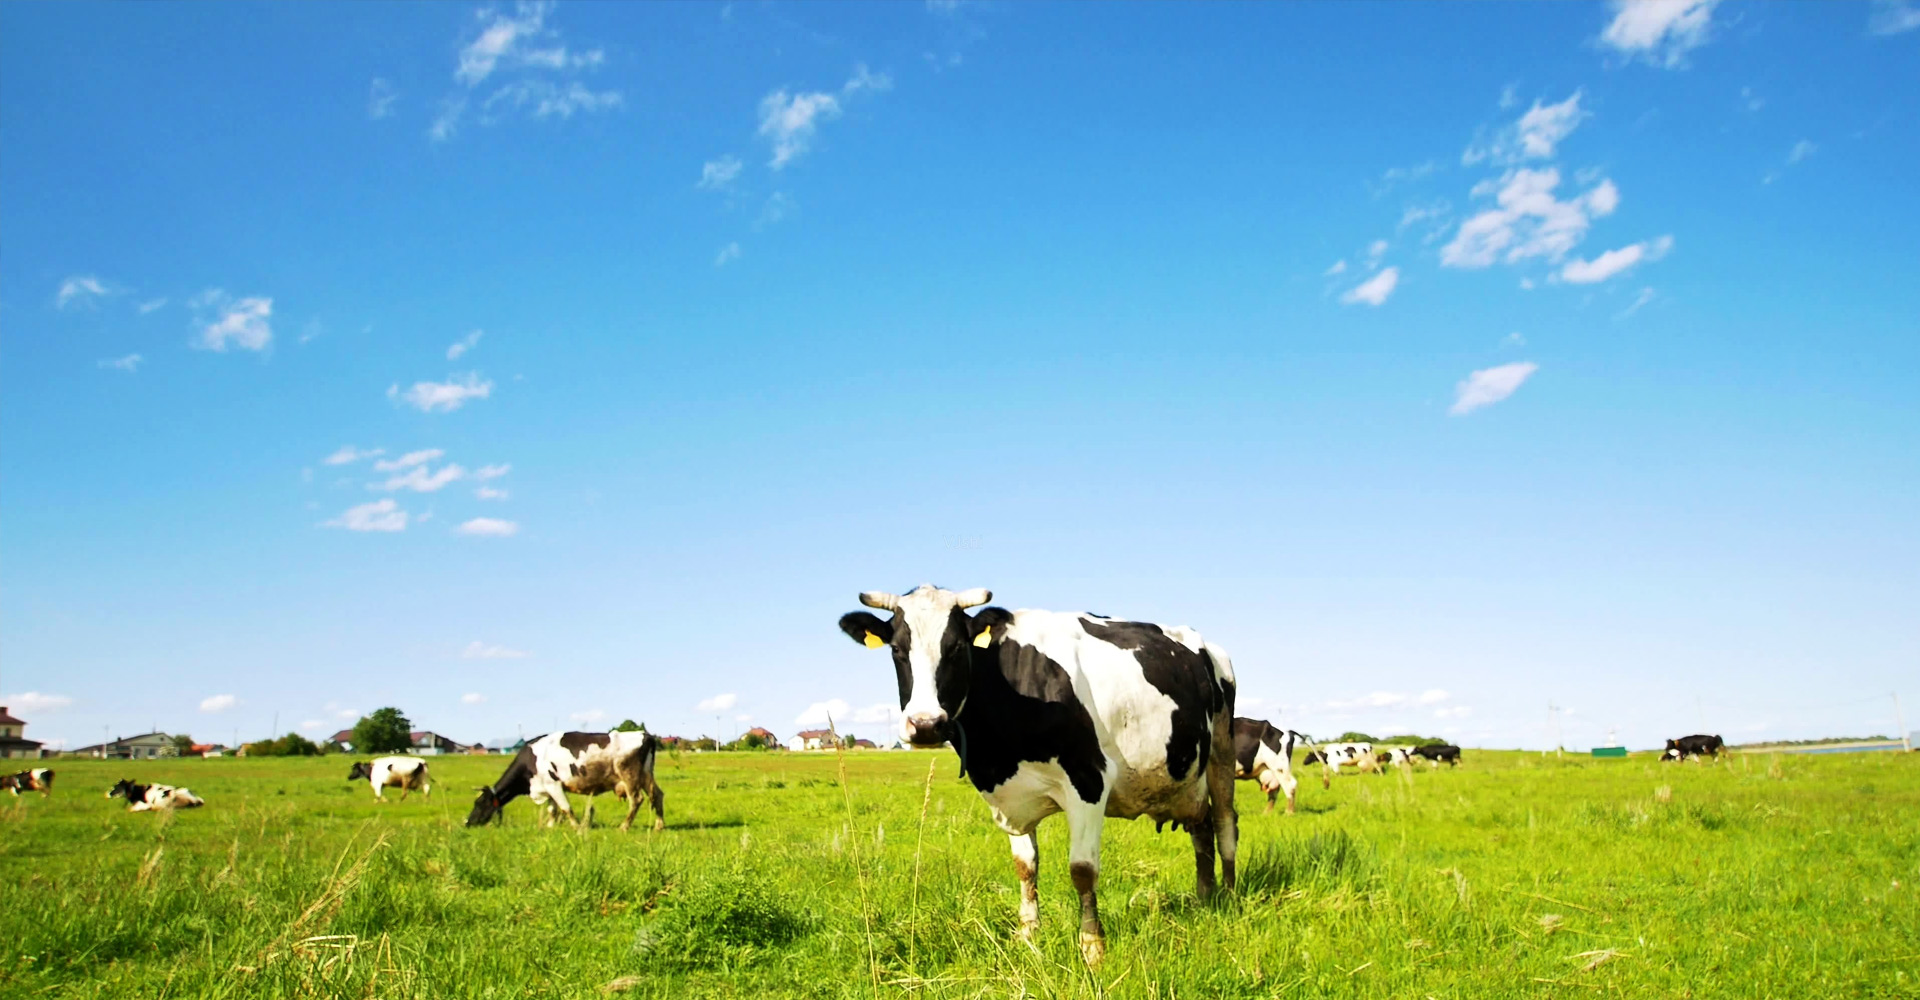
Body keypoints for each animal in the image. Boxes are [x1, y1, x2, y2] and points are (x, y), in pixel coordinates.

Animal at [466, 729, 668, 829]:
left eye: (479, 804)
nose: (467, 822)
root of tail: (645, 735)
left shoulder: (553, 784)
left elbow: (565, 808)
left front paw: (576, 827)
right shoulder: (548, 787)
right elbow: (552, 809)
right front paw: (550, 826)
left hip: (629, 776)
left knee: (637, 800)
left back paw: (624, 826)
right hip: (646, 775)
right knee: (657, 795)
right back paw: (659, 825)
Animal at [833, 579, 1236, 963]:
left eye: (956, 648)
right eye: (897, 650)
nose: (926, 724)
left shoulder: (1089, 780)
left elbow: (1082, 870)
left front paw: (1092, 947)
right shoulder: (1010, 796)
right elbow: (1025, 866)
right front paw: (1027, 935)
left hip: (1222, 750)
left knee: (1224, 825)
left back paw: (1230, 896)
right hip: (1188, 778)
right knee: (1201, 829)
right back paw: (1205, 897)